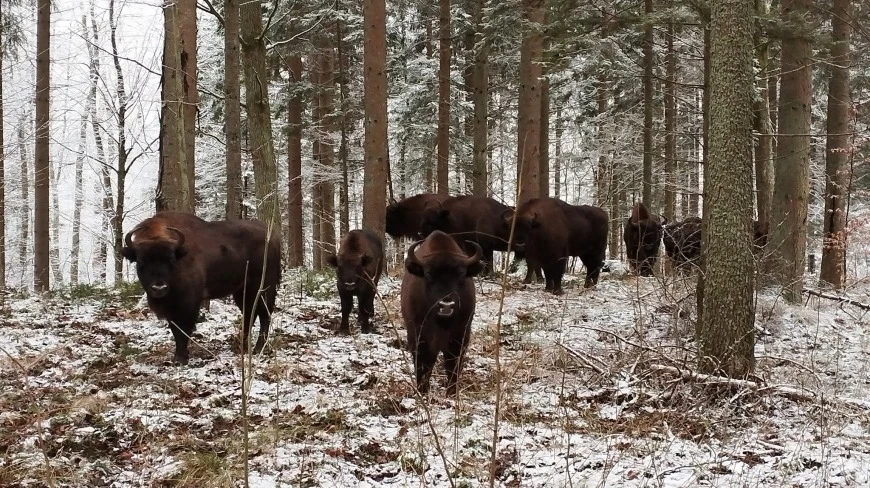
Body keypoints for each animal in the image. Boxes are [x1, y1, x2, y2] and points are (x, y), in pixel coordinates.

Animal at [119, 212, 282, 364]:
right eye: (141, 262)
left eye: (171, 260)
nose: (159, 288)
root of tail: (272, 235)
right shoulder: (171, 308)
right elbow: (175, 329)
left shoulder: (188, 303)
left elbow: (183, 330)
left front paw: (180, 358)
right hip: (241, 291)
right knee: (250, 314)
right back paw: (240, 344)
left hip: (263, 287)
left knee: (264, 314)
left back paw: (258, 348)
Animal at [402, 231, 484, 394]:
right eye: (428, 274)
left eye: (461, 274)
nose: (446, 304)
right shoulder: (418, 336)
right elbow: (422, 364)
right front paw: (422, 390)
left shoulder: (460, 336)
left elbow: (453, 365)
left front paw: (451, 392)